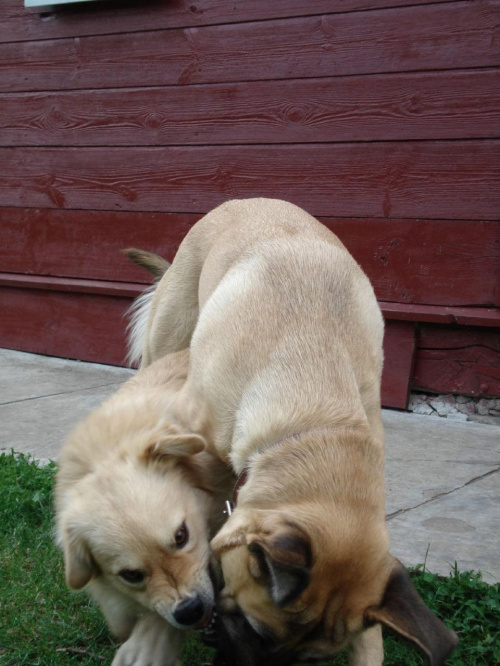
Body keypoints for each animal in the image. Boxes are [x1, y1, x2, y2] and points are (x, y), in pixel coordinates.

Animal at [129, 198, 458, 664]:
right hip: (166, 342)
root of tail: (245, 200)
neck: (316, 423)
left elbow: (370, 642)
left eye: (311, 661)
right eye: (254, 630)